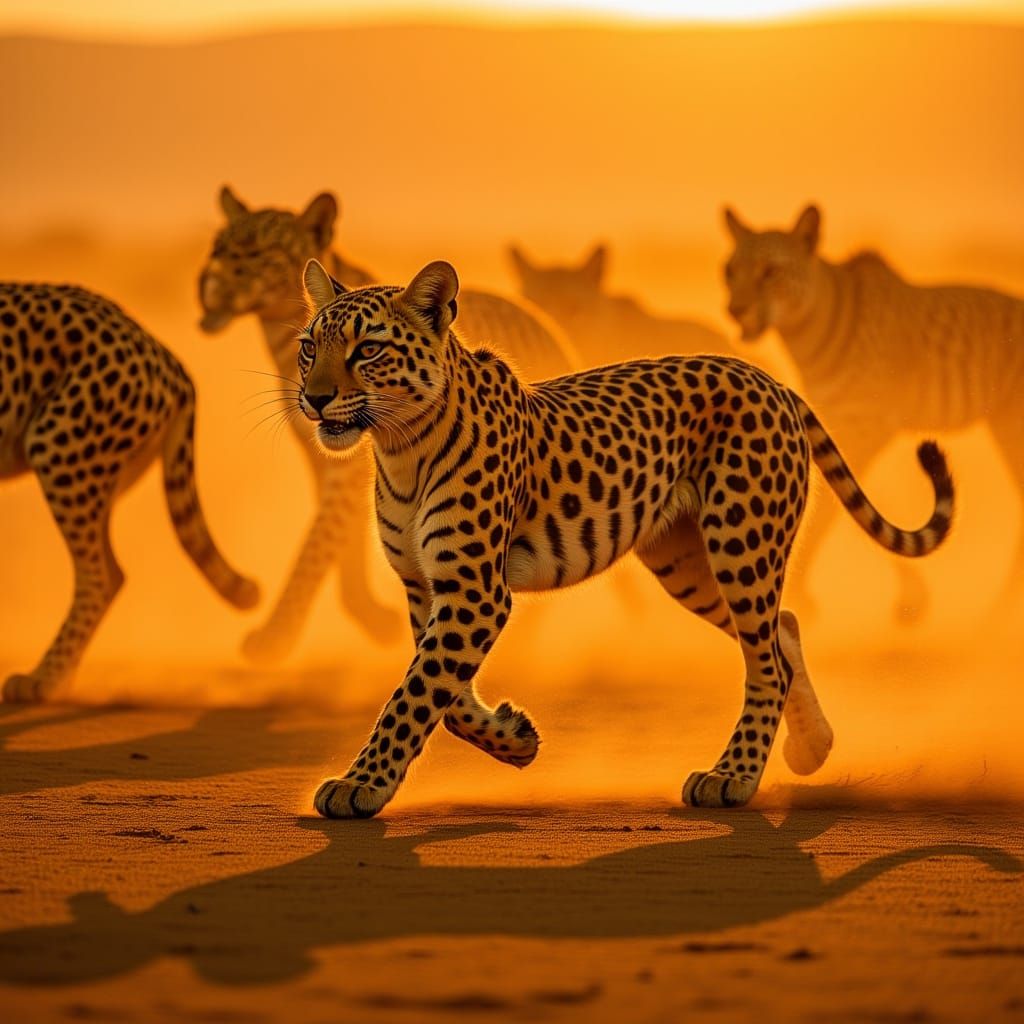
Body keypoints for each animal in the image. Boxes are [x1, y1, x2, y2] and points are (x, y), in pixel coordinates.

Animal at [0, 282, 258, 702]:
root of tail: (162, 351)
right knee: (112, 572)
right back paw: (61, 678)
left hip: (58, 446)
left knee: (101, 575)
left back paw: (44, 680)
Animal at [197, 187, 575, 664]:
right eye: (218, 249)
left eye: (260, 253)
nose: (209, 288)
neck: (279, 335)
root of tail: (547, 327)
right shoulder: (325, 456)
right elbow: (339, 545)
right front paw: (370, 617)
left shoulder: (352, 465)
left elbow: (317, 544)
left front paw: (276, 636)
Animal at [294, 258, 954, 818]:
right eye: (308, 348)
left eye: (368, 349)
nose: (315, 397)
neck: (399, 447)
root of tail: (765, 377)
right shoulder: (426, 586)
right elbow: (443, 695)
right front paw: (514, 739)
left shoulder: (475, 591)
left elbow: (414, 694)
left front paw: (359, 785)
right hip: (688, 563)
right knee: (782, 631)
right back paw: (811, 748)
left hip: (741, 543)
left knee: (767, 660)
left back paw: (734, 777)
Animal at [723, 204, 1024, 622]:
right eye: (731, 271)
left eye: (770, 271)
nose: (735, 311)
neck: (809, 330)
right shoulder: (837, 420)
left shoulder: (871, 424)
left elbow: (833, 509)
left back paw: (1002, 609)